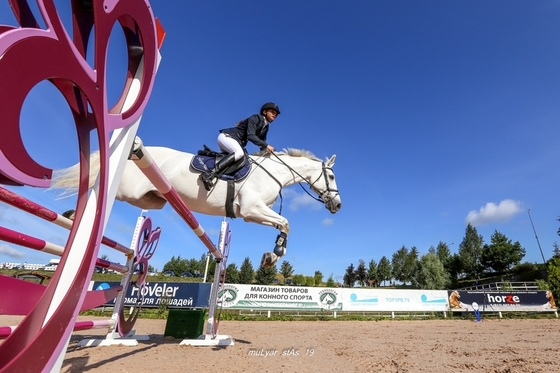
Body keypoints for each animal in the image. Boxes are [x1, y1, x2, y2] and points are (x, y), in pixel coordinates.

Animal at [52, 147, 342, 266]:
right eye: (331, 176)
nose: (338, 205)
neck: (274, 172)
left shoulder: (253, 214)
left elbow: (284, 225)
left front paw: (271, 256)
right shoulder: (251, 209)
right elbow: (286, 223)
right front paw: (273, 255)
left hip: (151, 199)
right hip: (128, 190)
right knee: (101, 189)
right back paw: (73, 216)